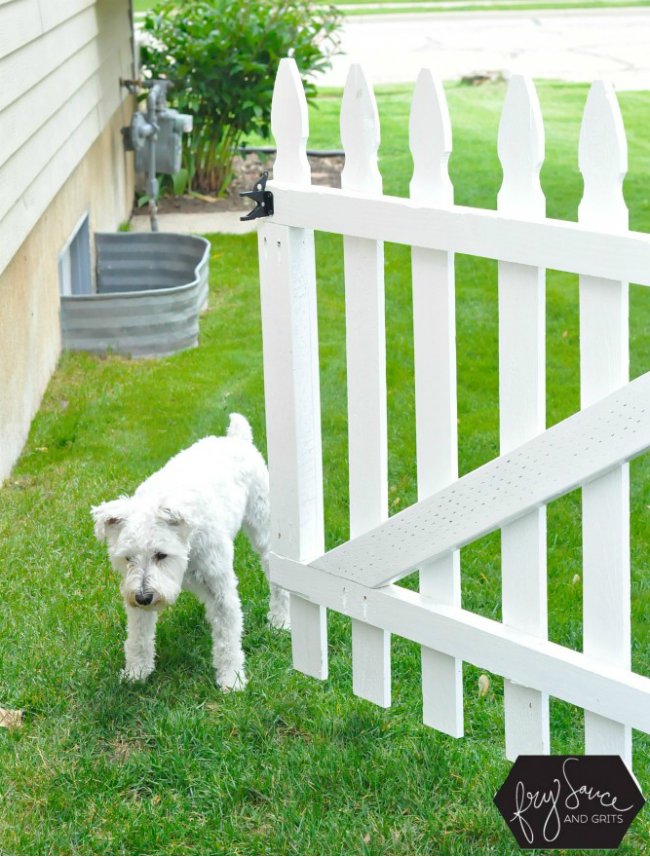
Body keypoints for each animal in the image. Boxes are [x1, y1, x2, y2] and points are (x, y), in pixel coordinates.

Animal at [90, 412, 288, 688]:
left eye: (161, 554)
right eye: (127, 558)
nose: (144, 598)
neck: (188, 544)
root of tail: (236, 438)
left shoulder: (221, 588)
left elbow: (227, 638)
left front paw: (231, 679)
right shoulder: (135, 594)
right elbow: (139, 637)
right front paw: (136, 673)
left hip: (263, 528)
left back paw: (280, 621)